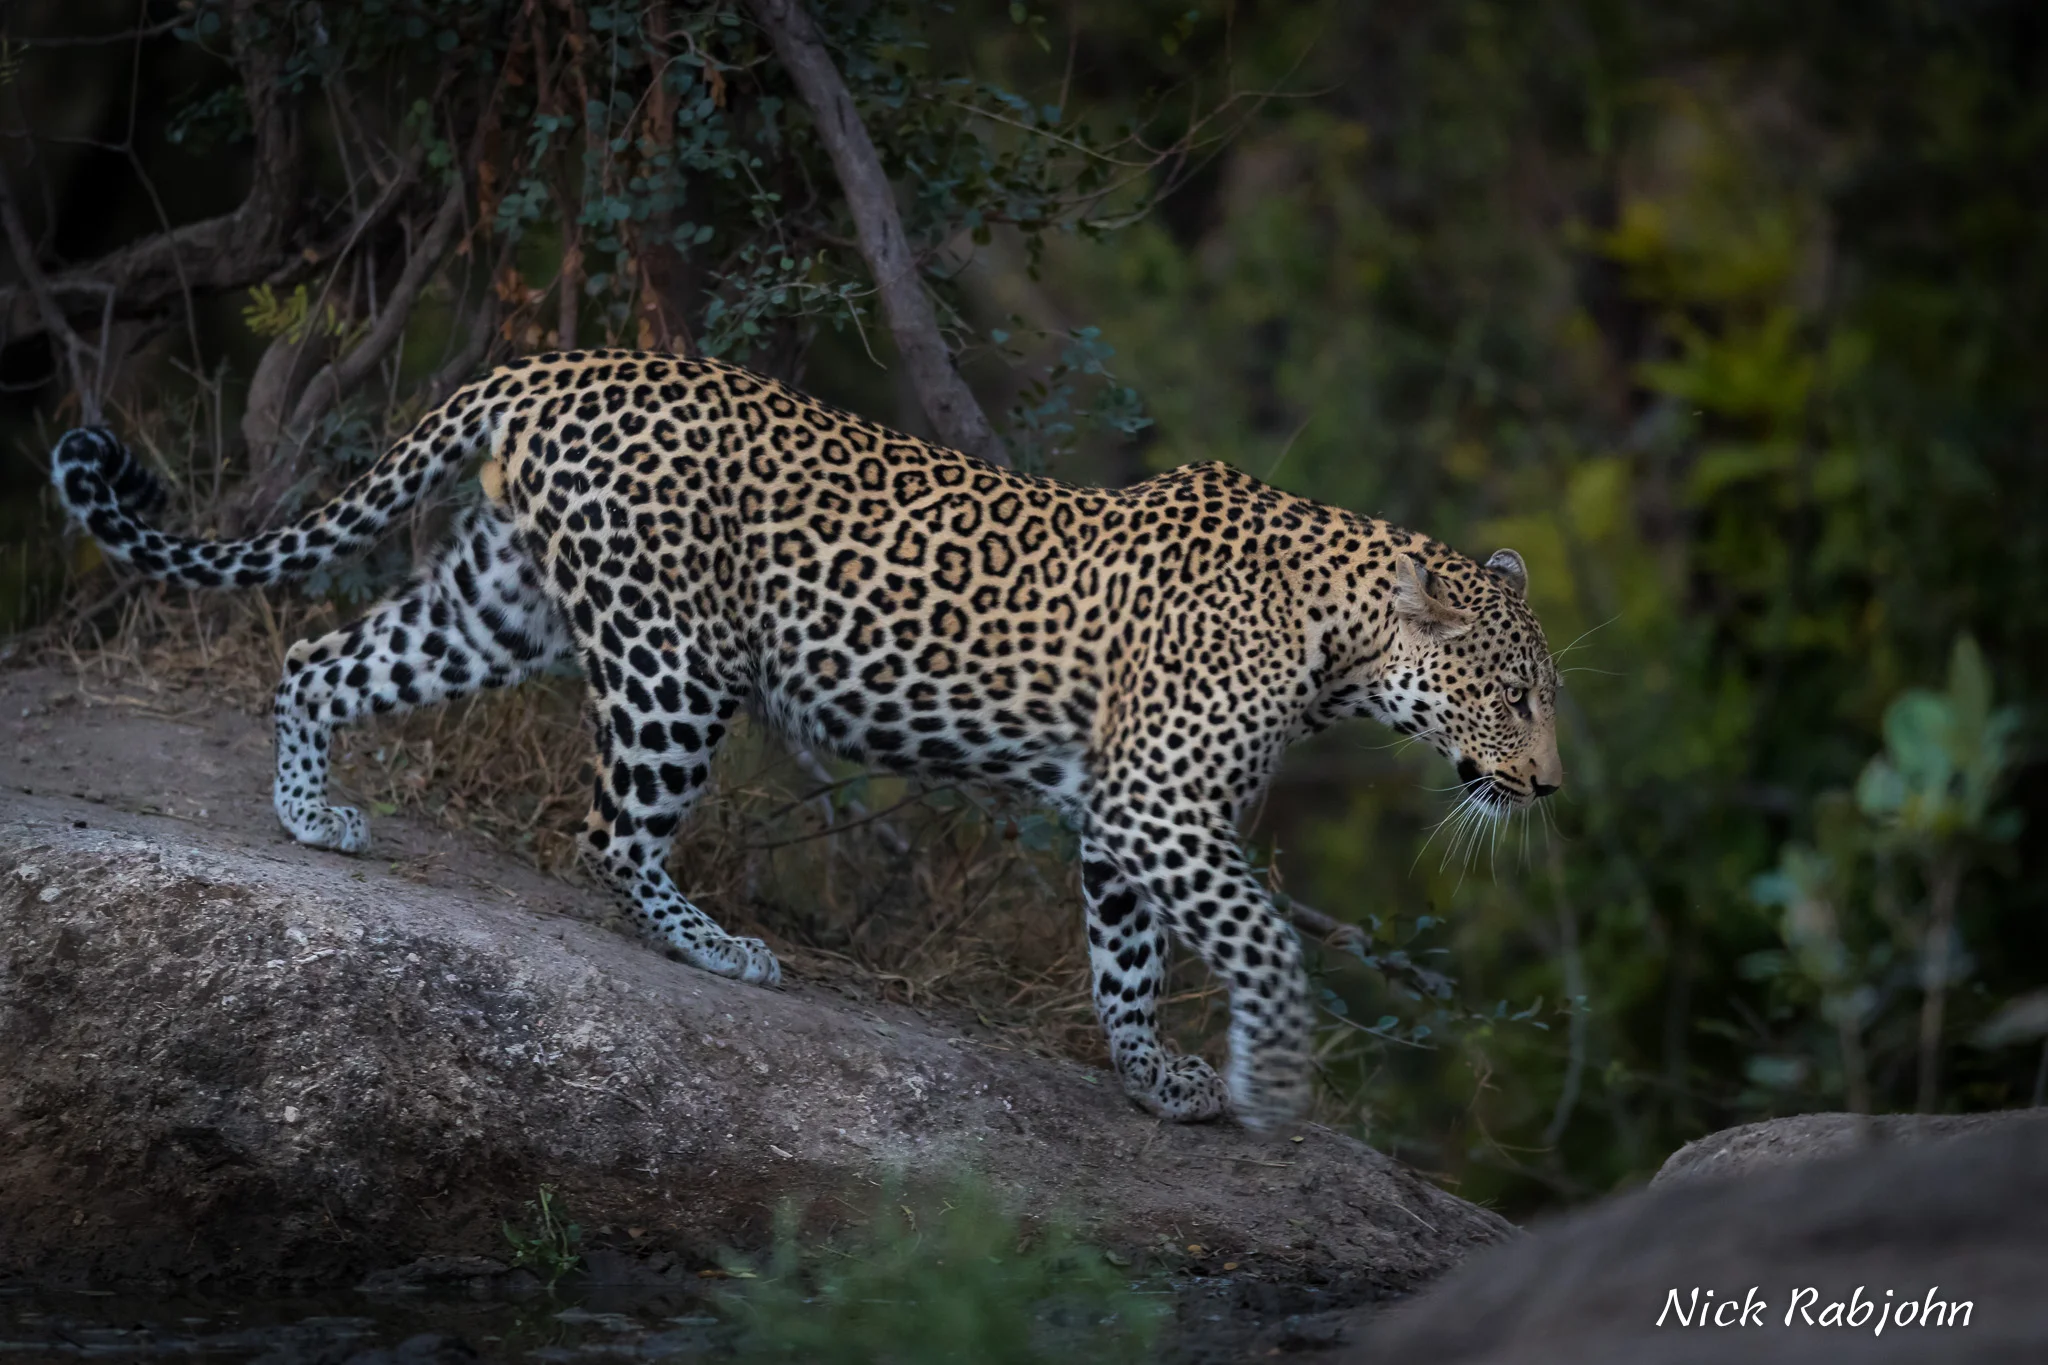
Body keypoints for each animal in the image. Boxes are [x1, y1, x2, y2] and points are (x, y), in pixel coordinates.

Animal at [49, 349, 1564, 1131]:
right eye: (1513, 695)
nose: (1548, 785)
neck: (1340, 644)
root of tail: (554, 361)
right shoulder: (1159, 807)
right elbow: (1263, 941)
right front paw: (1277, 1080)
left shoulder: (1128, 818)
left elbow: (1127, 960)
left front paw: (1157, 1078)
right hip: (674, 658)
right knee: (607, 829)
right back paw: (716, 945)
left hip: (503, 602)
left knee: (321, 657)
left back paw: (311, 815)